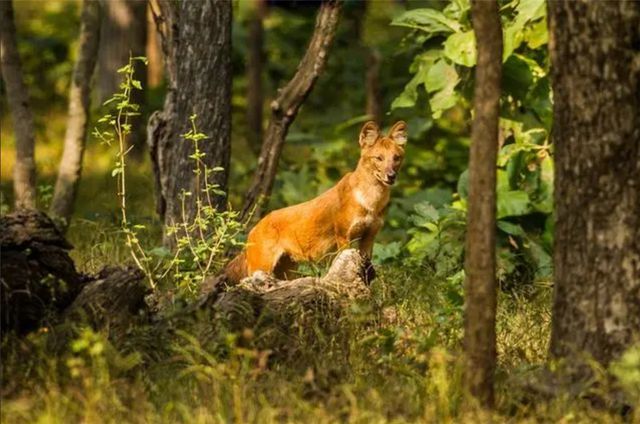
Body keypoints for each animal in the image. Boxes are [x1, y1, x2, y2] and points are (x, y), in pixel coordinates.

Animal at [224, 121, 404, 284]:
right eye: (379, 158)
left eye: (396, 158)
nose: (391, 176)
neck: (372, 200)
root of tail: (254, 228)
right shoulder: (344, 237)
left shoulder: (369, 236)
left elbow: (366, 271)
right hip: (261, 267)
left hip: (287, 271)